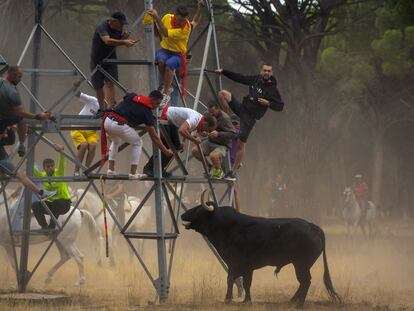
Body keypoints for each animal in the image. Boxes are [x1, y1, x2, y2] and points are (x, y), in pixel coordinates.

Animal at [180, 191, 340, 308]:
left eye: (198, 210)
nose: (183, 214)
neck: (228, 227)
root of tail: (312, 226)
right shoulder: (248, 267)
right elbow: (247, 283)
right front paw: (246, 301)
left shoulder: (234, 263)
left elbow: (230, 279)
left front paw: (227, 299)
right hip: (300, 265)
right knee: (304, 282)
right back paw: (292, 300)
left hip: (301, 264)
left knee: (306, 281)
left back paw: (298, 303)